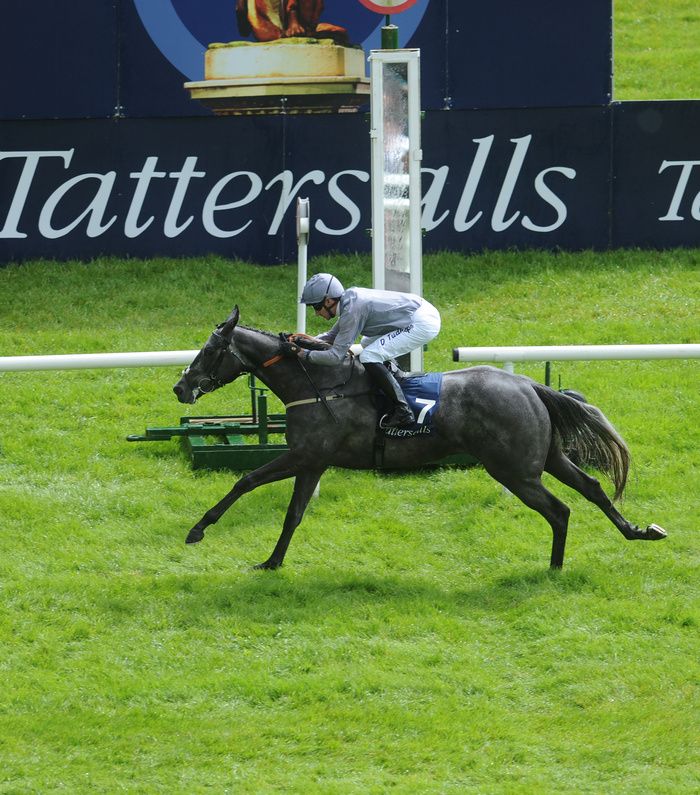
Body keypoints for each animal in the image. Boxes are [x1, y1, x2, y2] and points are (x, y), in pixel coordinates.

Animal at [172, 306, 664, 572]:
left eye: (210, 351)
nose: (180, 387)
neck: (318, 384)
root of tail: (528, 385)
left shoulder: (303, 455)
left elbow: (245, 481)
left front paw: (198, 530)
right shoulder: (312, 461)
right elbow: (292, 514)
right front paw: (272, 562)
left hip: (515, 471)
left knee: (560, 510)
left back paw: (554, 566)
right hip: (545, 458)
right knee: (593, 488)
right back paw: (639, 532)